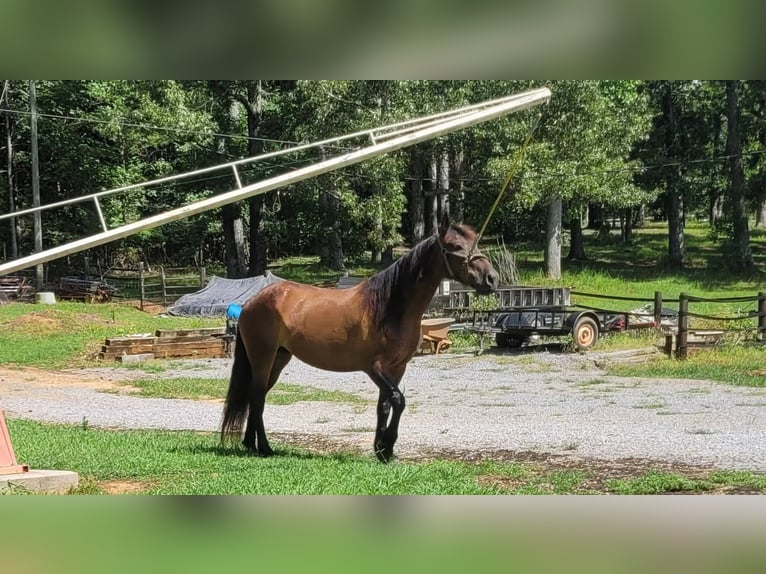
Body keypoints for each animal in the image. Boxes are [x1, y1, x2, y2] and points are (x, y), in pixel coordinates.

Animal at [220, 215, 500, 462]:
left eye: (476, 242)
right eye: (455, 246)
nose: (492, 278)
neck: (389, 306)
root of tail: (251, 302)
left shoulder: (397, 368)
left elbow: (384, 405)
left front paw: (381, 450)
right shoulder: (374, 367)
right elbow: (399, 400)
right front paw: (387, 445)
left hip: (279, 357)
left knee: (256, 396)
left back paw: (250, 444)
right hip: (263, 356)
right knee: (257, 396)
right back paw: (264, 448)